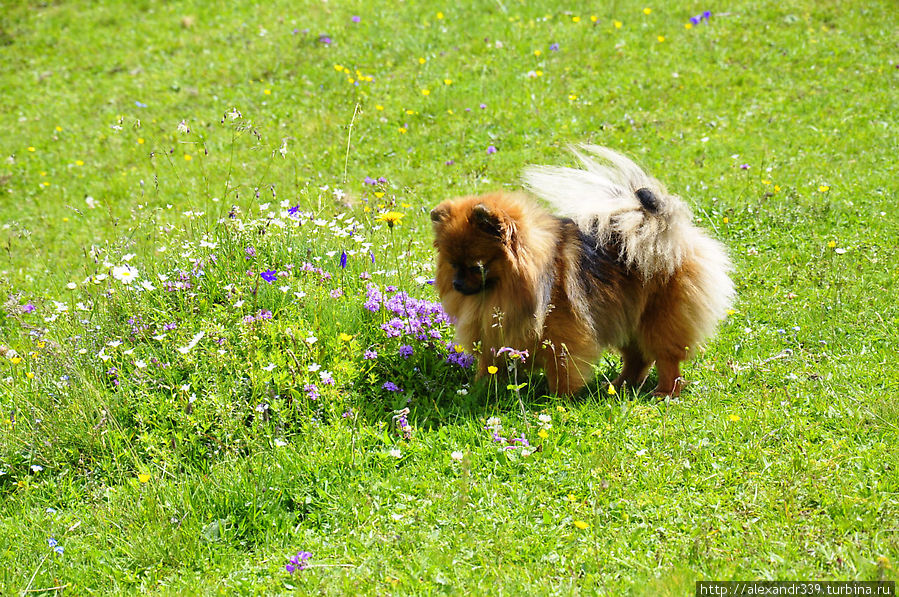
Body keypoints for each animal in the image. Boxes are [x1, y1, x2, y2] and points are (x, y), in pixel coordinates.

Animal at [432, 146, 736, 396]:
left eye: (477, 266)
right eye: (452, 264)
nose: (457, 284)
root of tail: (669, 233)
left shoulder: (562, 334)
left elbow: (562, 369)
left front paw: (559, 400)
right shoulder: (493, 334)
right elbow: (488, 363)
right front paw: (479, 389)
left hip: (658, 319)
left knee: (666, 357)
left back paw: (664, 392)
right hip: (625, 314)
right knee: (637, 358)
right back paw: (619, 386)